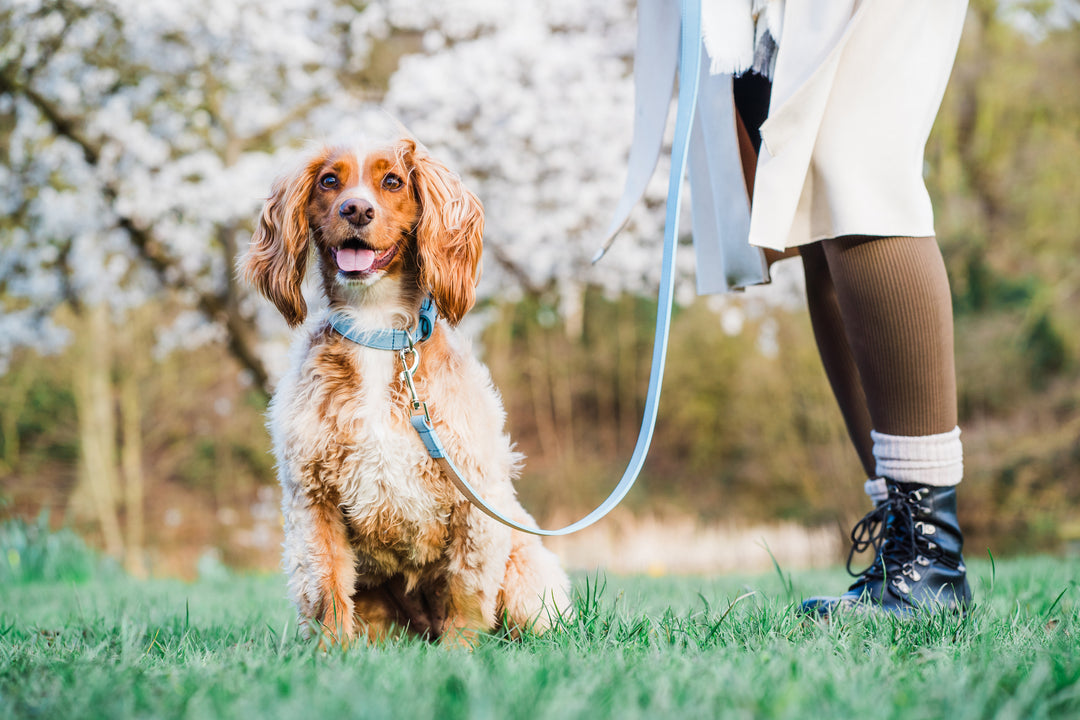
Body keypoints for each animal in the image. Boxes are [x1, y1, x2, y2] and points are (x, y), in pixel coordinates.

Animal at [244, 134, 574, 647]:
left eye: (393, 181)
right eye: (329, 181)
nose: (356, 209)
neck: (378, 329)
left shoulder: (471, 495)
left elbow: (466, 592)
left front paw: (460, 653)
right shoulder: (313, 497)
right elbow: (328, 587)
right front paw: (329, 653)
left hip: (528, 583)